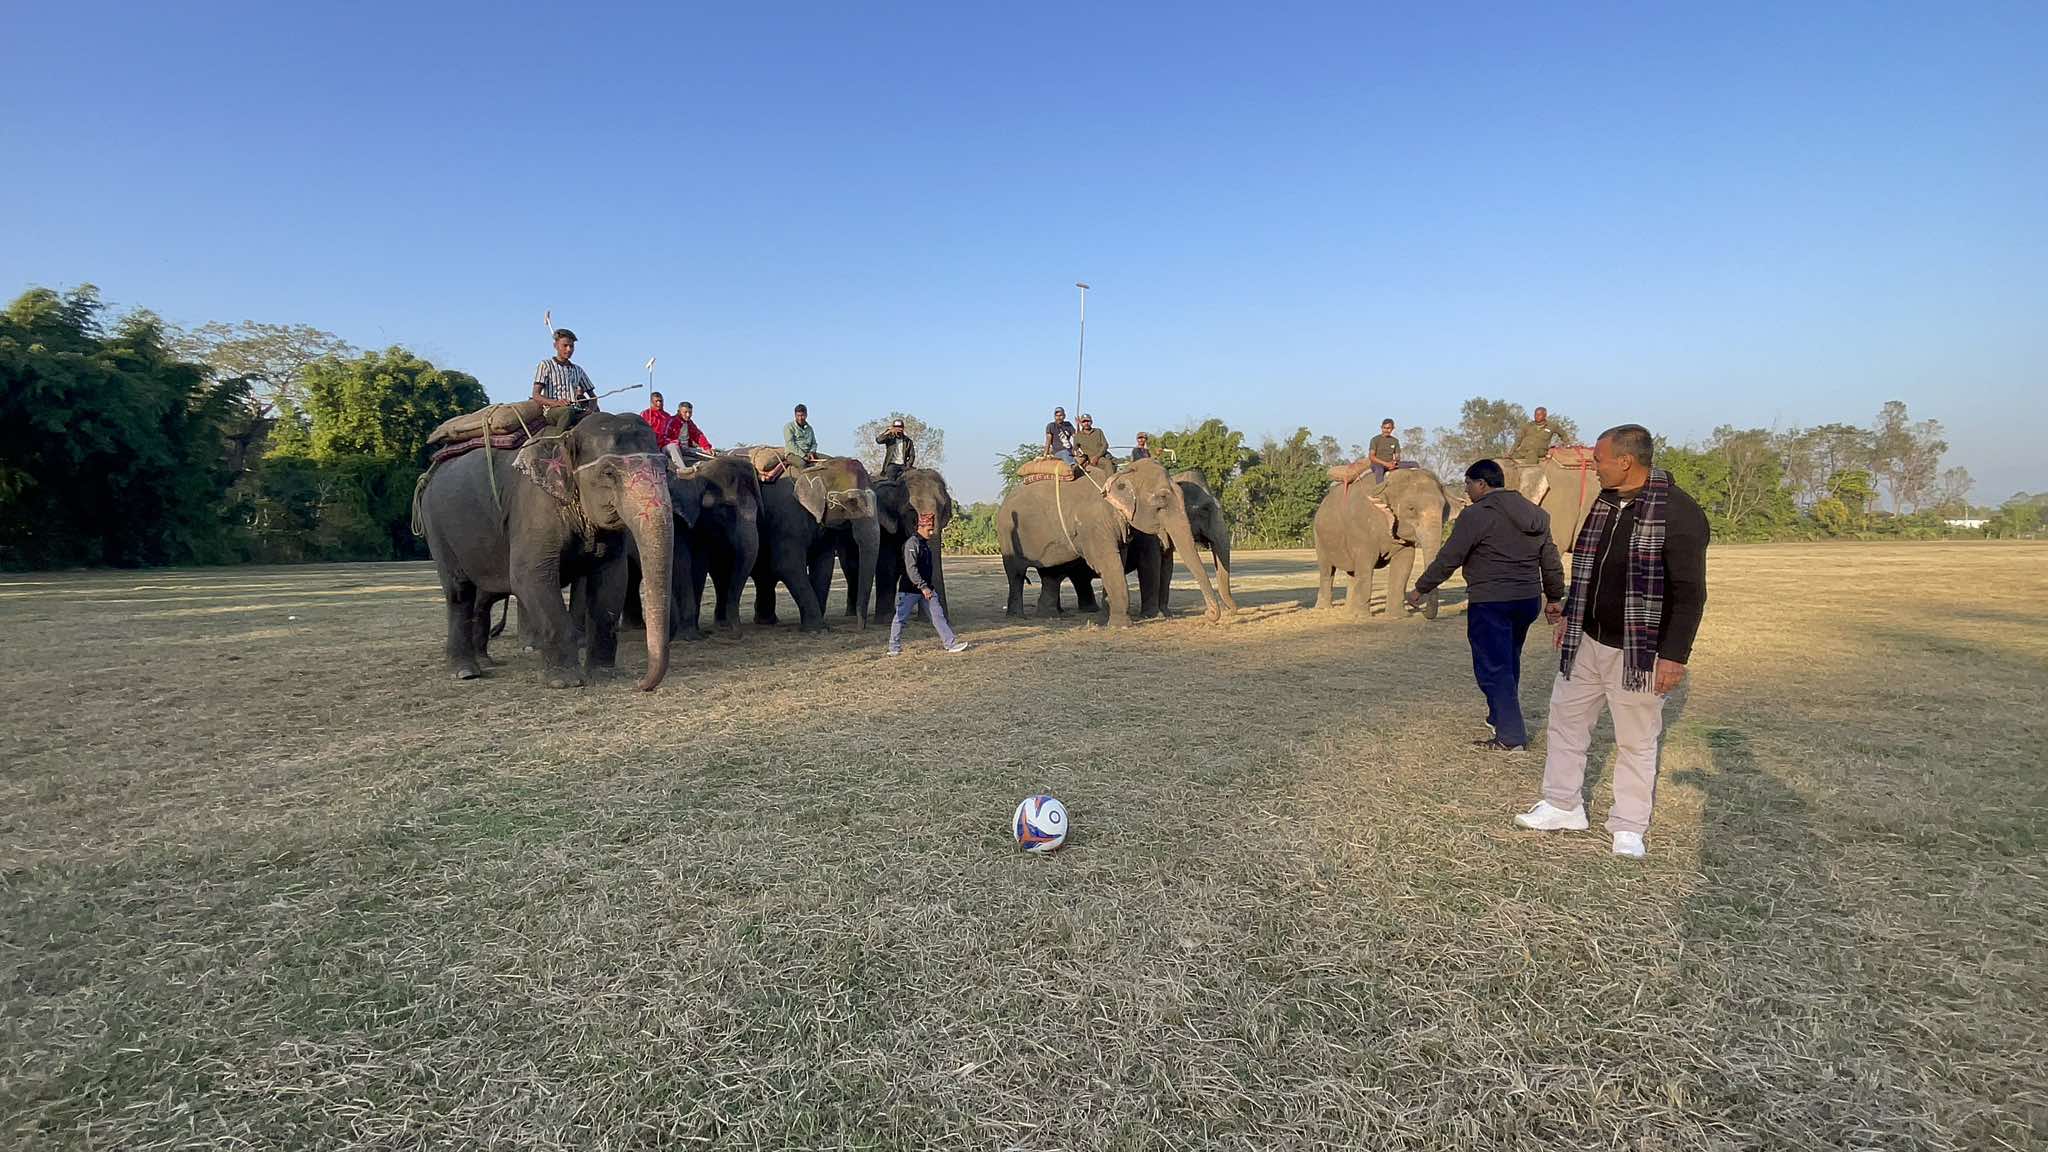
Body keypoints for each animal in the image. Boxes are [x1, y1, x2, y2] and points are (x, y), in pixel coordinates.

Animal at [419, 407, 675, 684]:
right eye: (608, 472)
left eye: (666, 468)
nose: (641, 683)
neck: (568, 434)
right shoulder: (534, 505)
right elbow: (529, 575)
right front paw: (566, 681)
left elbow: (612, 579)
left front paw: (605, 675)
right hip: (436, 526)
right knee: (459, 592)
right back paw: (465, 671)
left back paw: (481, 663)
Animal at [999, 455, 1220, 627]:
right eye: (1162, 500)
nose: (1209, 614)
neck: (1122, 473)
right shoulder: (1097, 524)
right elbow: (1116, 563)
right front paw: (1125, 623)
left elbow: (1120, 561)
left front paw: (1112, 615)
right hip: (1008, 534)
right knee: (1016, 574)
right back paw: (1018, 616)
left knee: (1052, 574)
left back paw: (1054, 614)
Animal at [1318, 461, 1449, 619]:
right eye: (1411, 509)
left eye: (1444, 508)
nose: (1416, 605)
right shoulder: (1362, 527)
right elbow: (1366, 564)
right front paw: (1363, 616)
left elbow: (1405, 562)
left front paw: (1398, 616)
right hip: (1319, 537)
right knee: (1327, 570)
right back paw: (1324, 608)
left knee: (1352, 572)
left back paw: (1349, 612)